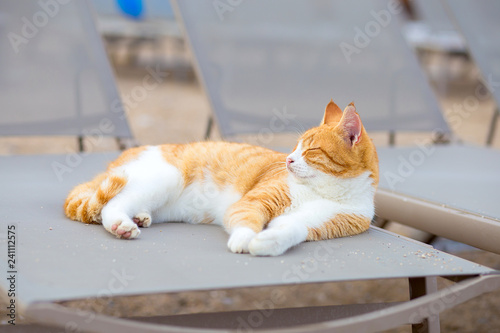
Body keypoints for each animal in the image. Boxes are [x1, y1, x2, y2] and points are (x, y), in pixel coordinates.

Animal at [65, 100, 378, 255]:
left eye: (311, 150)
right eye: (295, 147)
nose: (288, 160)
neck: (327, 191)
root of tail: (114, 161)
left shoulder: (316, 223)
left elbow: (293, 230)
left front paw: (267, 244)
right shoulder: (254, 203)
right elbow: (247, 220)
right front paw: (245, 240)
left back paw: (139, 217)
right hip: (165, 177)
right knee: (110, 205)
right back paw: (121, 224)